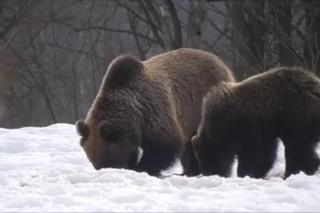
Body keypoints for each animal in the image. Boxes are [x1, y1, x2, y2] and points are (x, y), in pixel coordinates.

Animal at [75, 48, 235, 176]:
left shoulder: (155, 112)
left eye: (108, 159)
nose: (105, 170)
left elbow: (164, 146)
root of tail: (220, 61)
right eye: (94, 161)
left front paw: (142, 168)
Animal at [191, 66, 320, 178]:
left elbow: (253, 154)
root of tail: (314, 85)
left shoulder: (250, 127)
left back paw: (293, 171)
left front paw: (246, 172)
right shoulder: (265, 130)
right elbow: (266, 153)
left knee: (296, 145)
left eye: (203, 157)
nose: (208, 173)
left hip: (296, 114)